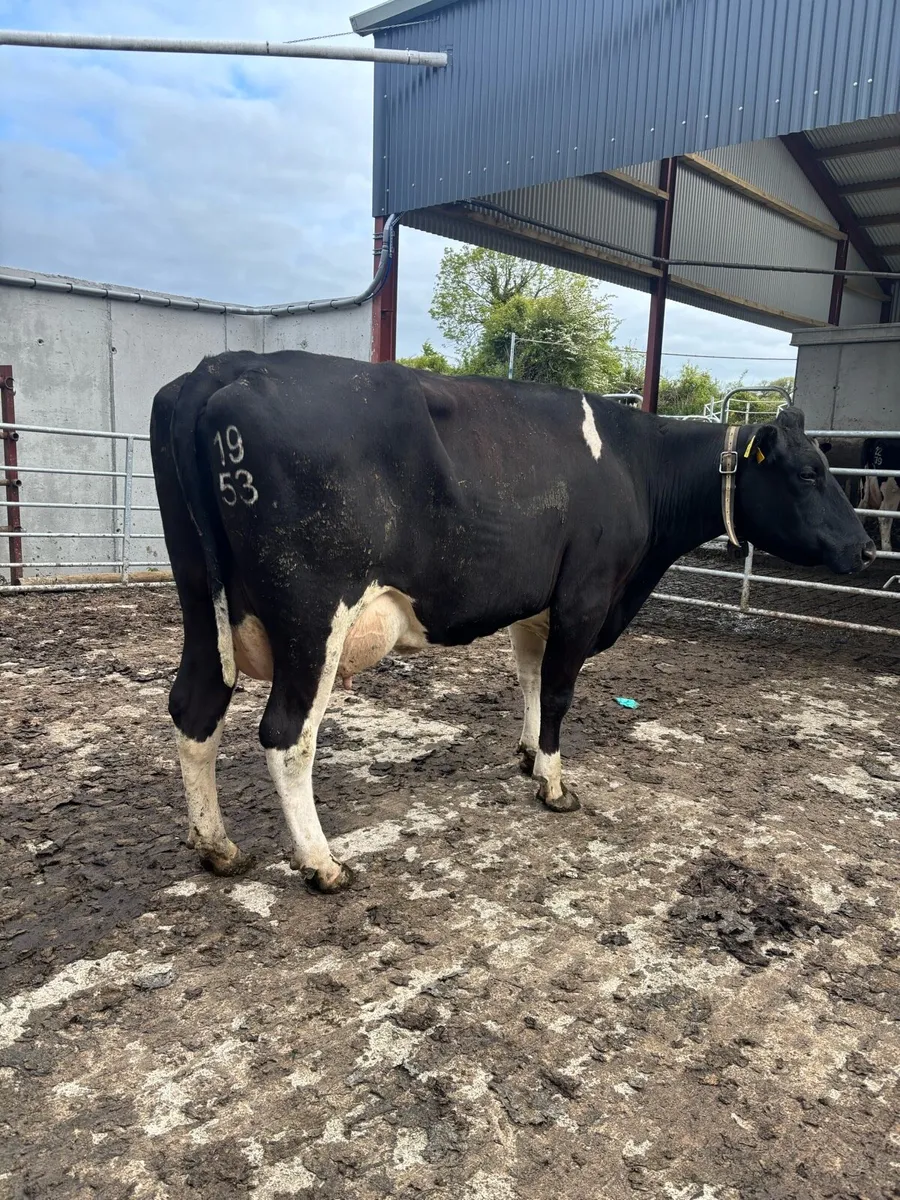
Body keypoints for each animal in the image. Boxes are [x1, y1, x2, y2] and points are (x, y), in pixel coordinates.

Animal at [150, 351, 875, 893]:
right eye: (809, 472)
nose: (867, 549)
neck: (635, 465)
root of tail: (225, 366)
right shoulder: (585, 593)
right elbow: (558, 689)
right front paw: (554, 784)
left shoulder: (542, 600)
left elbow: (529, 677)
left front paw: (528, 756)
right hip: (311, 615)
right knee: (286, 733)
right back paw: (323, 864)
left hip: (201, 600)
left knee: (195, 706)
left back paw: (219, 848)